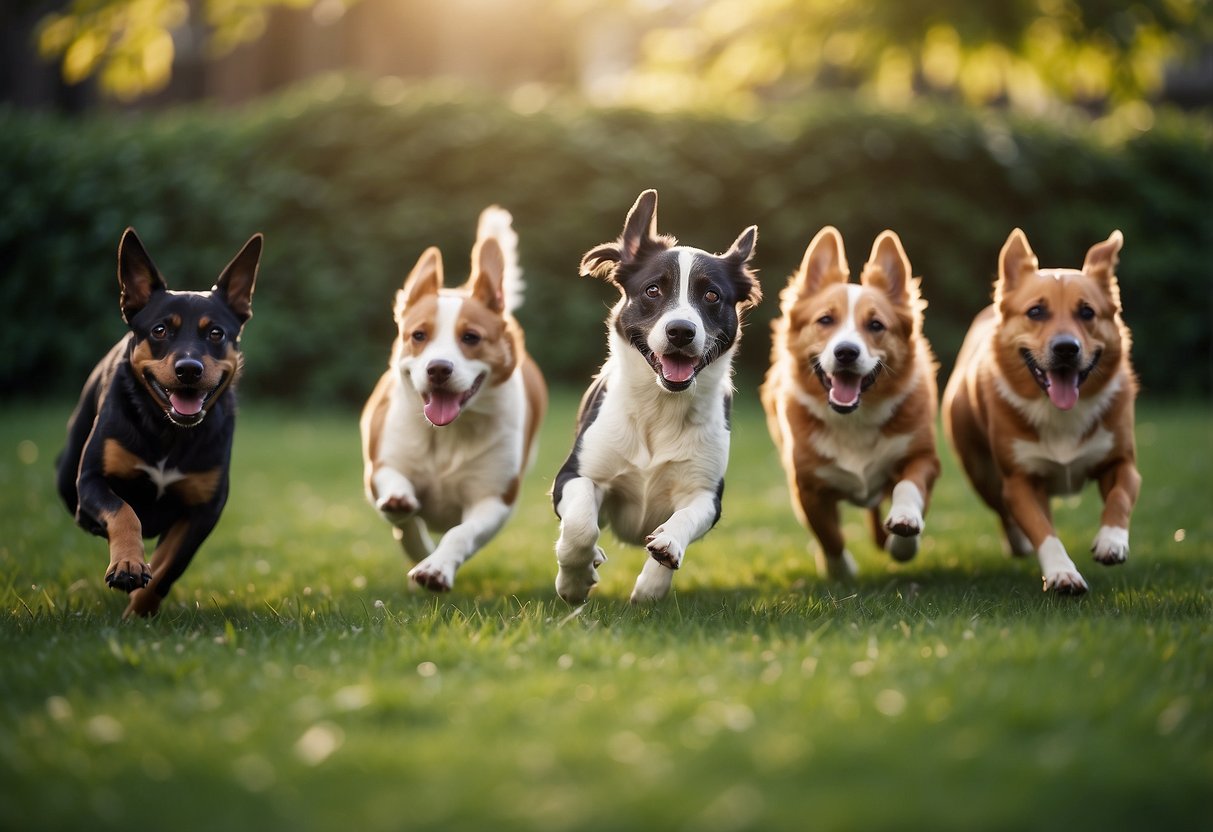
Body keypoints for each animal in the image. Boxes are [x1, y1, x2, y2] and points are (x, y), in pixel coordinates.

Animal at [56, 228, 260, 618]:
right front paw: (128, 564)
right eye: (160, 330)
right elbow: (123, 511)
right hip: (67, 472)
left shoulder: (205, 510)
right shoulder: (90, 480)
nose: (189, 369)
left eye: (216, 334)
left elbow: (170, 565)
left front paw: (139, 611)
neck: (169, 430)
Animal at [356, 208, 548, 594]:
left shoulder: (494, 500)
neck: (449, 433)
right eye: (418, 335)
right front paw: (407, 520)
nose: (438, 368)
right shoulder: (380, 468)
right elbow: (400, 510)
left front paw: (436, 568)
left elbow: (461, 533)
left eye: (471, 337)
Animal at [553, 190, 756, 606]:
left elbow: (685, 518)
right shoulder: (573, 476)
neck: (660, 406)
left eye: (711, 295)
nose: (681, 331)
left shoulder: (707, 493)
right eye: (652, 290)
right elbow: (580, 525)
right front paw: (574, 581)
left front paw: (656, 574)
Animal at [761, 226, 941, 579]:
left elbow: (909, 488)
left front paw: (903, 535)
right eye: (825, 320)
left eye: (876, 325)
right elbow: (829, 534)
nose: (846, 352)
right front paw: (839, 570)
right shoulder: (806, 486)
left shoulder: (925, 458)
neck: (853, 419)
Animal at [941, 228, 1140, 594]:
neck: (1058, 412)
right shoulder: (1019, 480)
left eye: (1087, 313)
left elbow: (1121, 494)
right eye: (1035, 312)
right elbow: (1041, 529)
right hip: (981, 472)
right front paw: (1062, 572)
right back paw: (1018, 543)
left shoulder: (1122, 461)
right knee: (1006, 512)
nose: (1066, 349)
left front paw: (1112, 541)